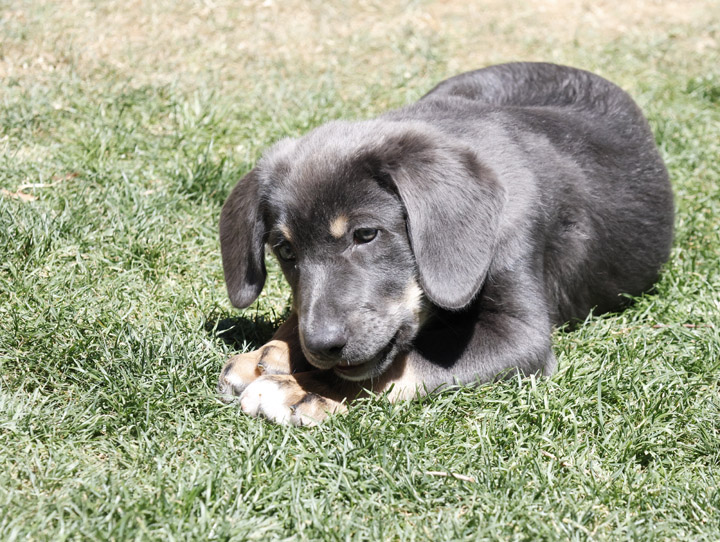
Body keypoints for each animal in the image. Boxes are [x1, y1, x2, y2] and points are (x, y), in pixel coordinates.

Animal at [217, 63, 672, 428]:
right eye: (285, 251)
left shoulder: (521, 335)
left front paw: (302, 389)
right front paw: (275, 352)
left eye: (365, 234)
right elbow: (301, 313)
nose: (322, 347)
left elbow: (397, 367)